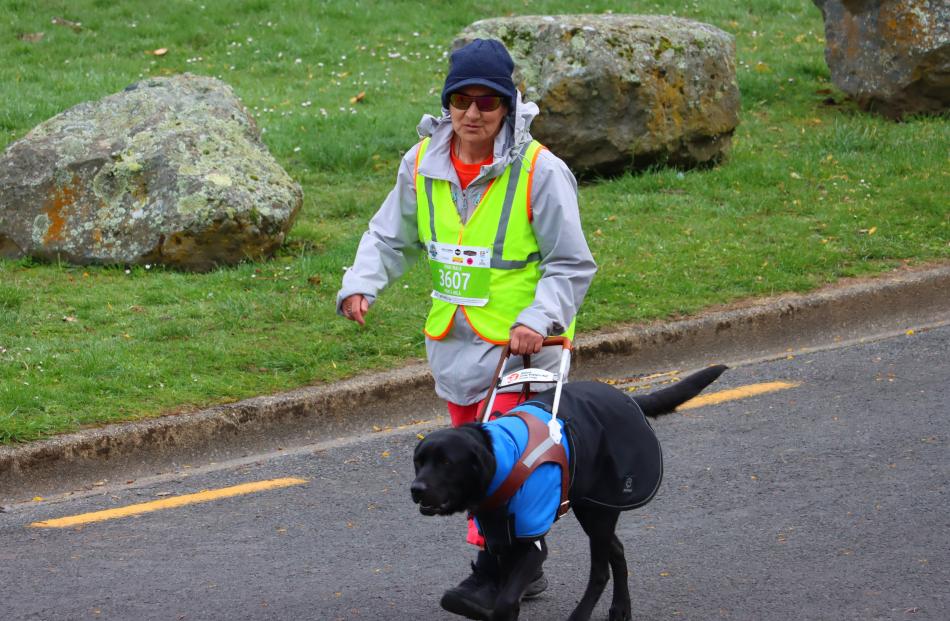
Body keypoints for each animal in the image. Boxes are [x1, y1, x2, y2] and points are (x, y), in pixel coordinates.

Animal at [410, 366, 728, 620]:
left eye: (446, 462)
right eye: (419, 462)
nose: (416, 489)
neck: (504, 455)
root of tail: (628, 399)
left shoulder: (532, 544)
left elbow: (506, 600)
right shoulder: (501, 539)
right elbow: (505, 596)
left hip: (601, 510)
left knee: (600, 572)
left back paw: (582, 614)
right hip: (592, 507)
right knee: (617, 552)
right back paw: (621, 608)